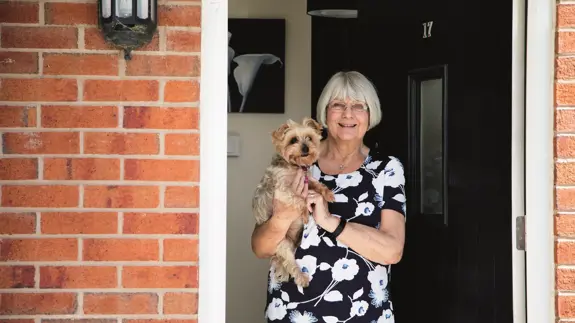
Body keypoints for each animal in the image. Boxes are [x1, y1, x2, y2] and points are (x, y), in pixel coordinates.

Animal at [253, 118, 338, 288]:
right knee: (290, 264)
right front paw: (305, 214)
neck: (294, 166)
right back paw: (301, 278)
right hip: (282, 243)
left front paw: (328, 194)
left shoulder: (307, 180)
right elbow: (300, 199)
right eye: (293, 140)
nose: (305, 148)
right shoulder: (284, 191)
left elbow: (317, 185)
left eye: (310, 138)